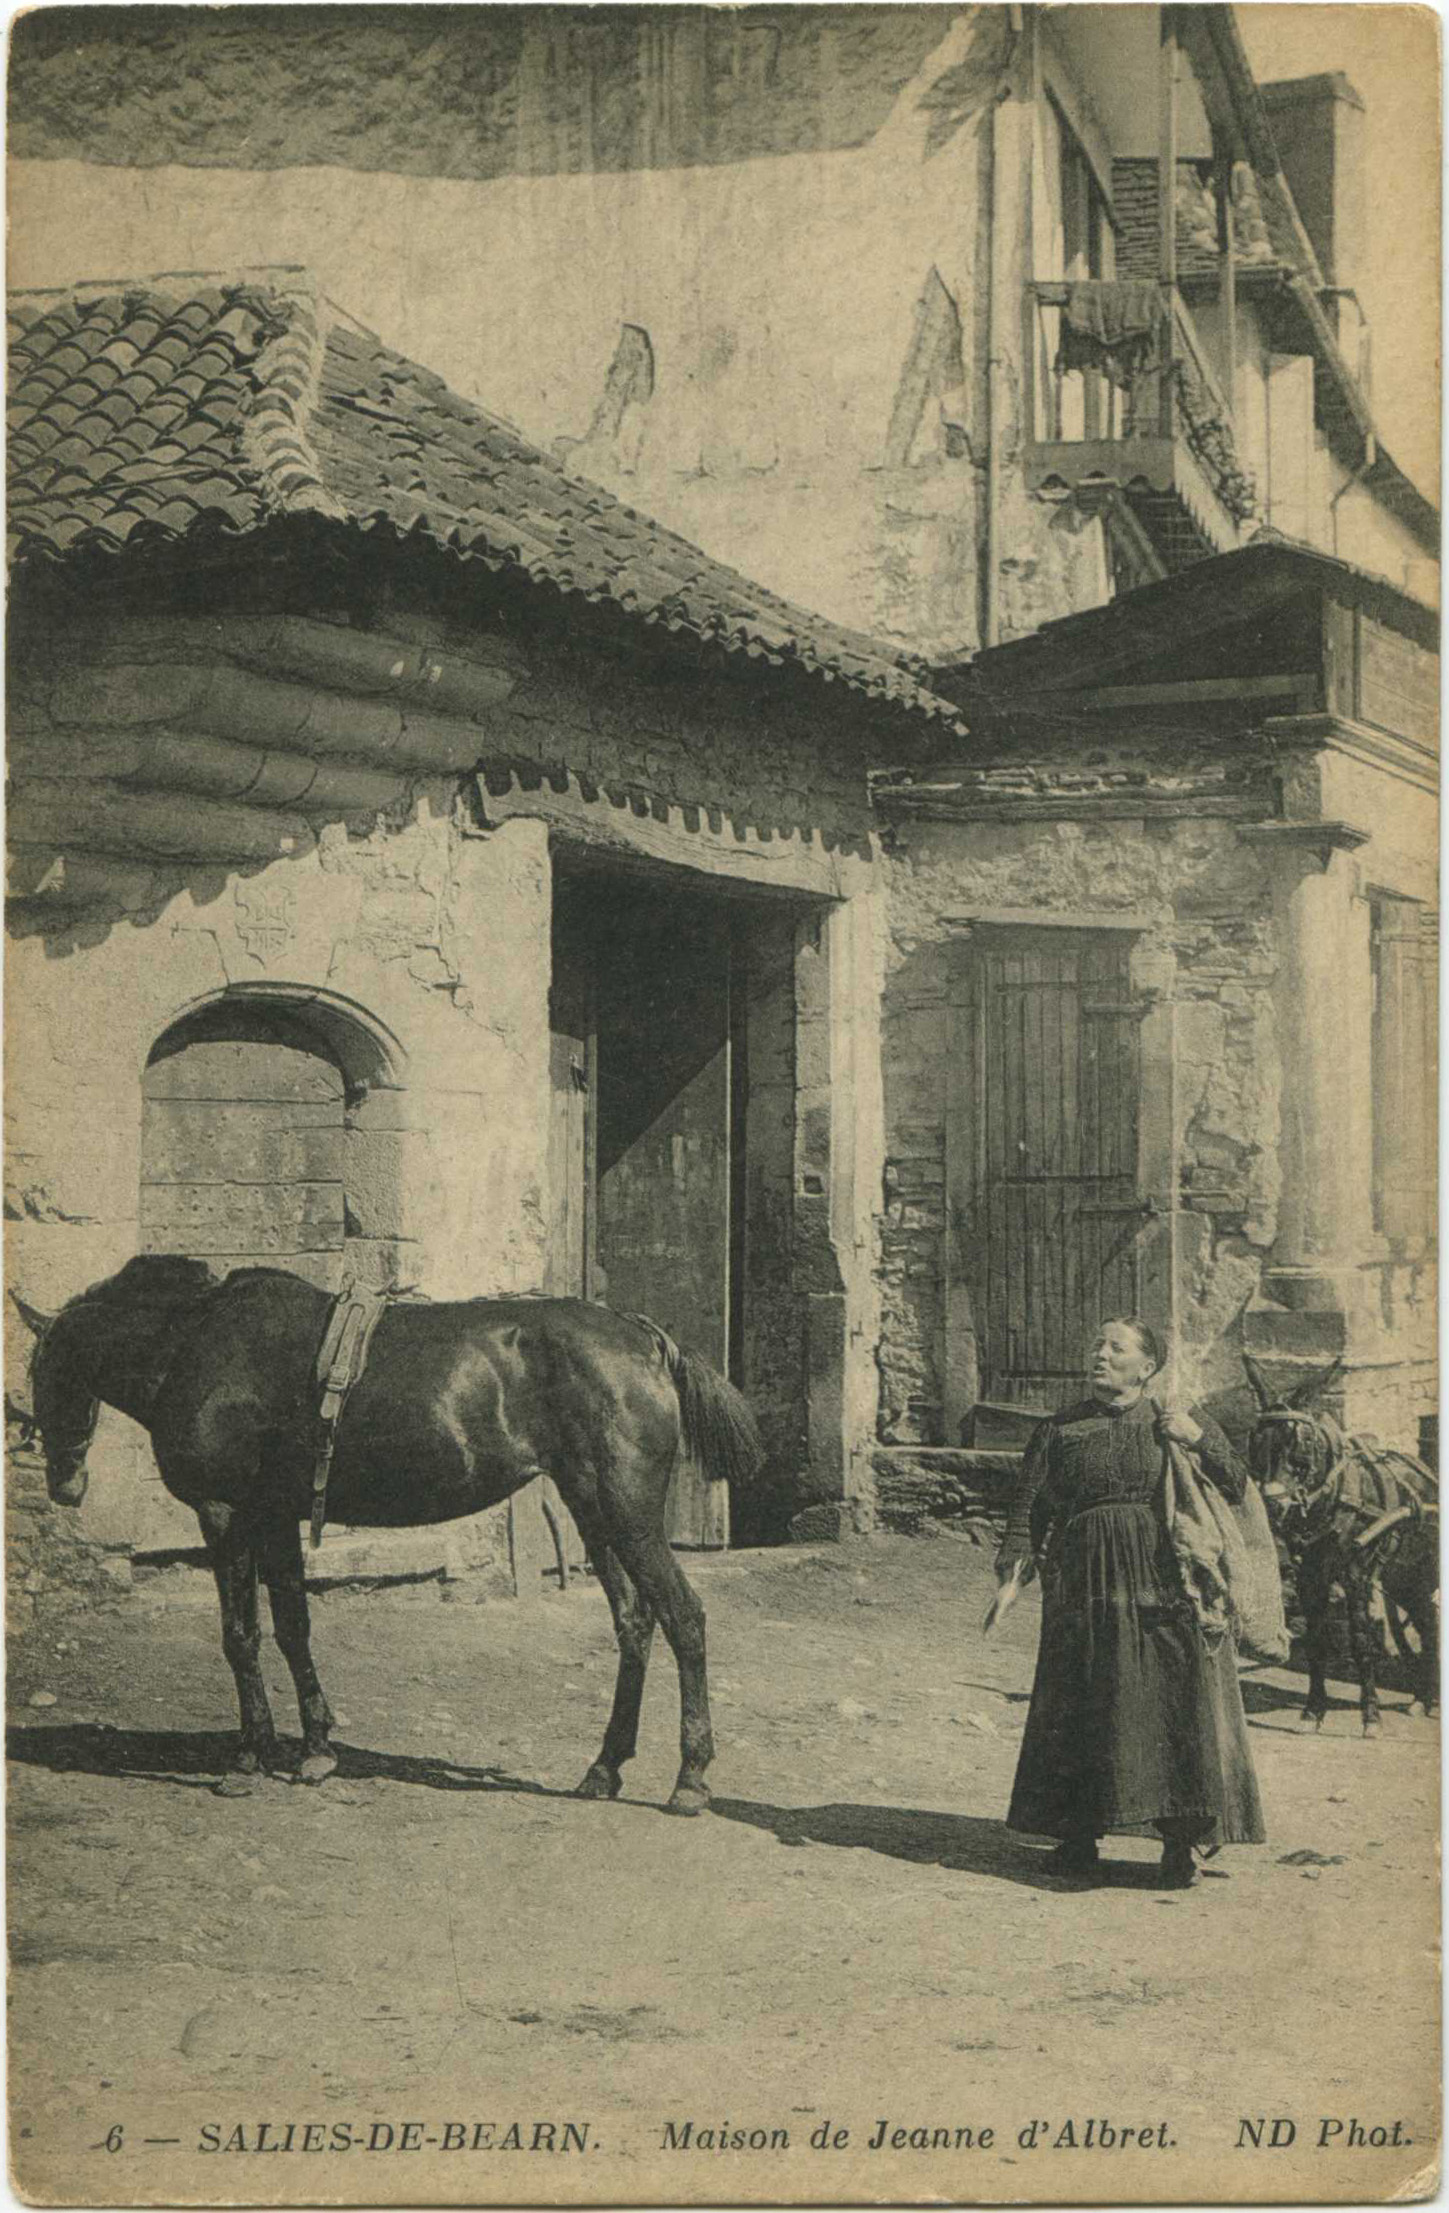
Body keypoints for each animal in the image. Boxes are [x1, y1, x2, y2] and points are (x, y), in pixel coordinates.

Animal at [17, 1256, 765, 1805]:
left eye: (40, 1371)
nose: (63, 1483)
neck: (192, 1344)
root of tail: (644, 1338)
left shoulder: (224, 1514)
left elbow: (241, 1636)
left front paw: (250, 1757)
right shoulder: (274, 1517)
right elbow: (292, 1628)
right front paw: (316, 1750)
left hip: (628, 1514)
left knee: (684, 1618)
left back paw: (689, 1778)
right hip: (593, 1513)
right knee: (635, 1623)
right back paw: (604, 1767)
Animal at [1247, 1345, 1442, 1726]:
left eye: (1302, 1442)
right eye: (1257, 1441)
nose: (1275, 1505)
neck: (1335, 1498)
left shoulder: (1357, 1577)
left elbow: (1361, 1642)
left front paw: (1371, 1715)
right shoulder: (1310, 1576)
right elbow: (1316, 1641)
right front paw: (1313, 1710)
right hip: (1405, 1577)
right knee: (1427, 1621)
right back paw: (1424, 1698)